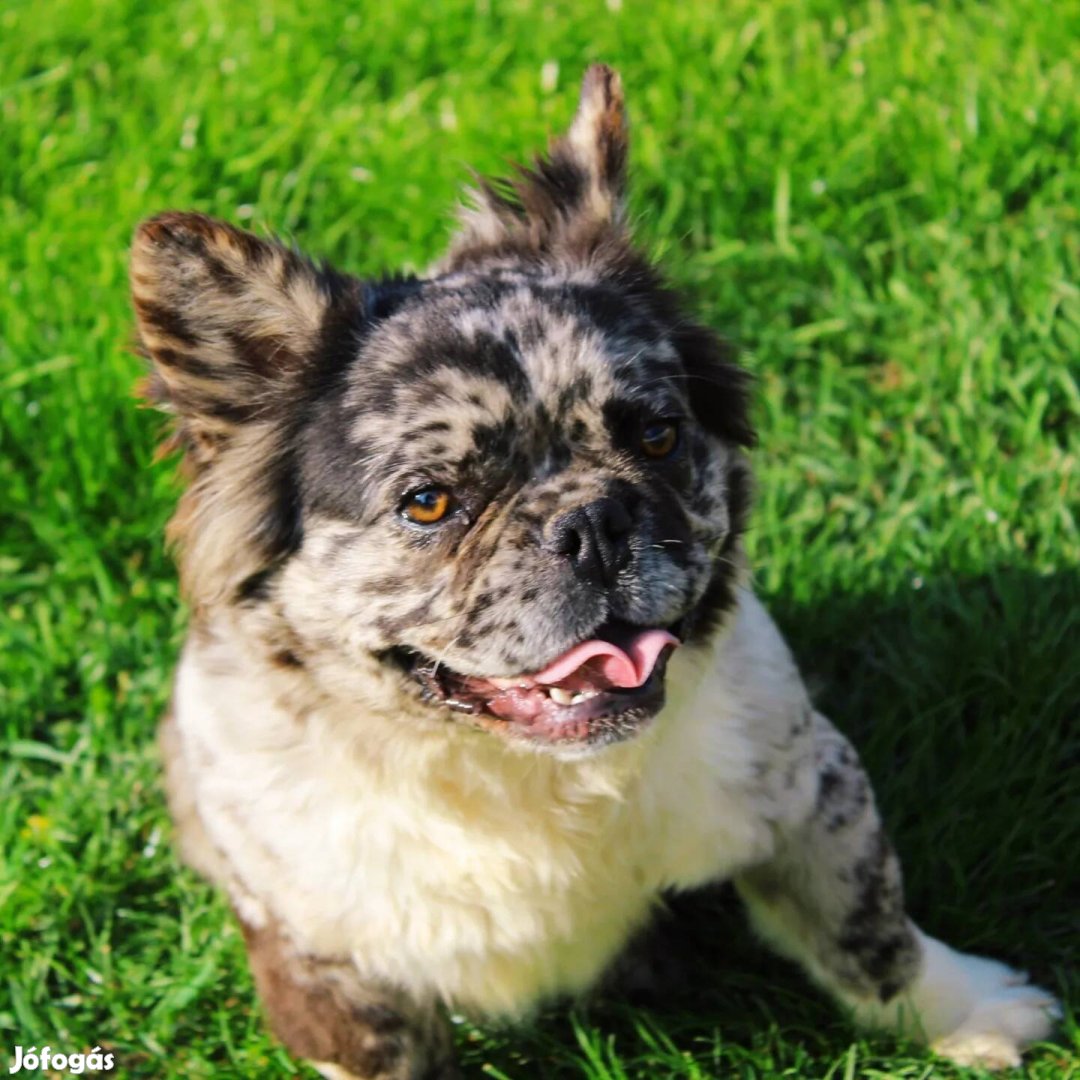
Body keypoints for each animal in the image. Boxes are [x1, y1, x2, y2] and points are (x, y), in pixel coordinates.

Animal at [130, 63, 1058, 1075]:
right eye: (428, 502)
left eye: (657, 437)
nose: (593, 523)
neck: (526, 778)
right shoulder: (324, 958)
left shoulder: (812, 785)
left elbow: (869, 928)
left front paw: (969, 1012)